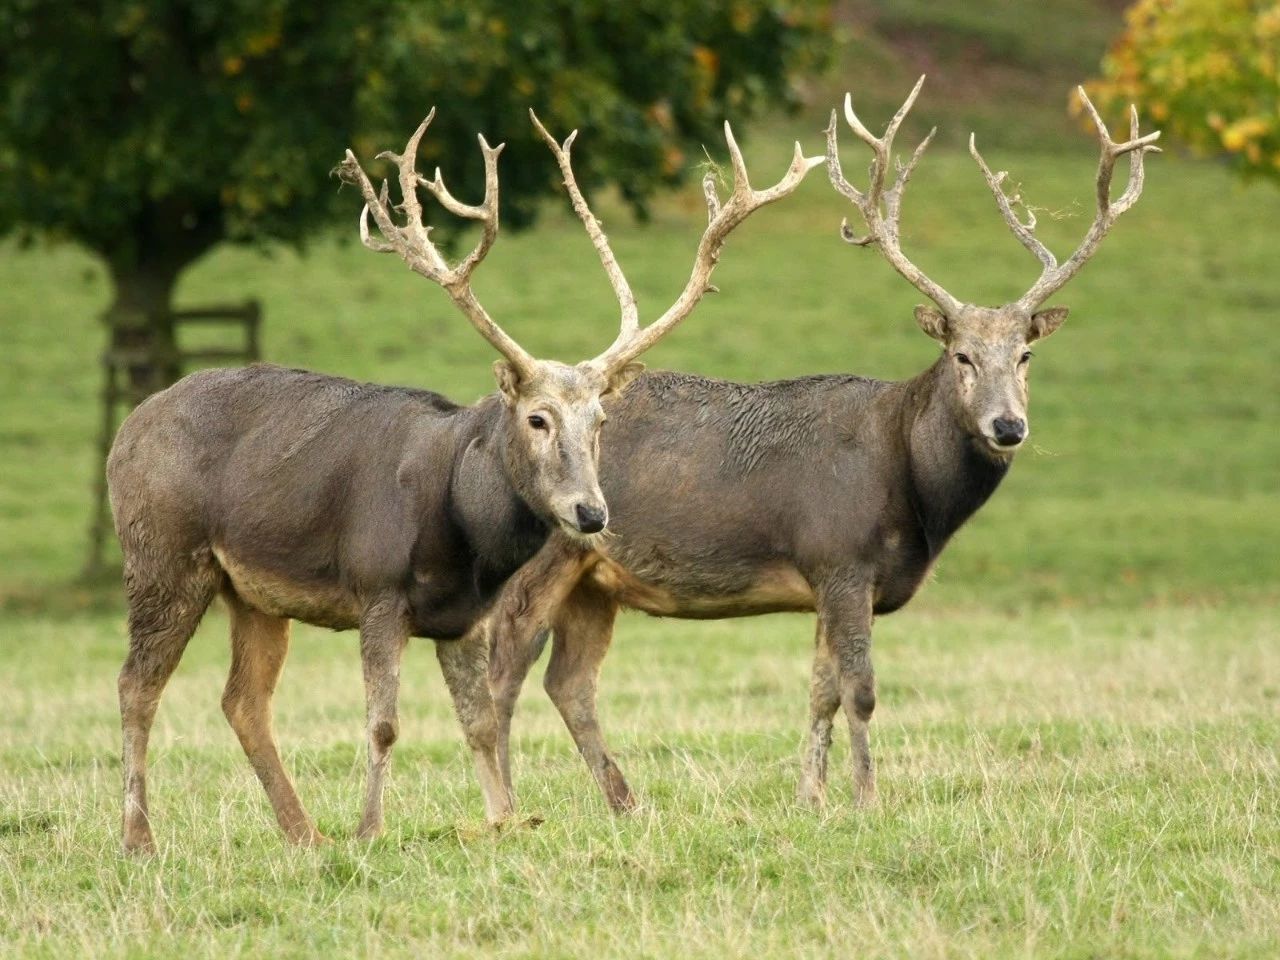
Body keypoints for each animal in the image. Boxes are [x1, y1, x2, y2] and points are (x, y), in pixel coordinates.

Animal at [104, 108, 814, 855]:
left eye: (599, 420)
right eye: (536, 417)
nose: (591, 513)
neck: (460, 531)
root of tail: (126, 430)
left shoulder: (463, 617)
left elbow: (477, 722)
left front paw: (504, 819)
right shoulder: (377, 587)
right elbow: (385, 724)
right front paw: (369, 830)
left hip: (254, 593)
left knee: (242, 699)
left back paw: (303, 834)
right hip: (162, 554)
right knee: (135, 685)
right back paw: (139, 836)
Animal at [481, 82, 1162, 814]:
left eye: (1026, 354)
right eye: (962, 355)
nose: (1008, 426)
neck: (911, 490)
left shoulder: (830, 576)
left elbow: (821, 691)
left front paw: (811, 796)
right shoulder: (840, 555)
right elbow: (860, 692)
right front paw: (866, 797)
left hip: (595, 578)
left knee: (570, 682)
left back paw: (625, 802)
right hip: (544, 554)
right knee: (505, 665)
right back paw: (511, 804)